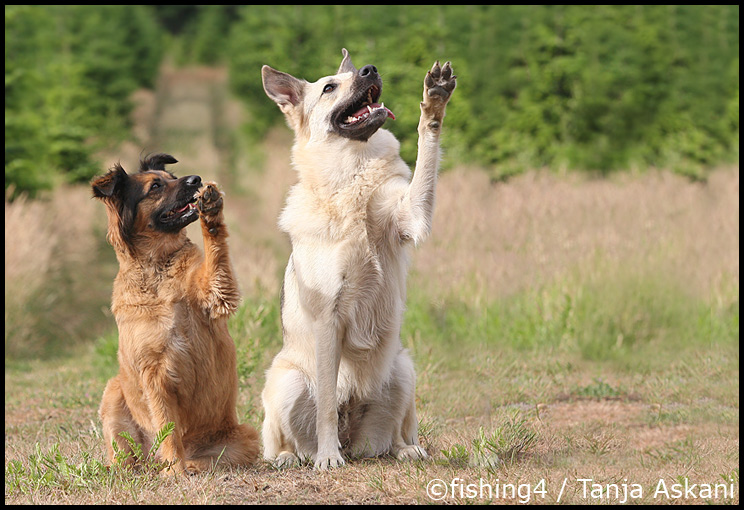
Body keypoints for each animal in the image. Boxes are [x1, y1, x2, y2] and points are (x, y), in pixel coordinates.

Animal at [93, 154, 258, 474]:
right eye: (155, 186)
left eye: (172, 177)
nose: (196, 179)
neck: (157, 268)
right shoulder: (153, 372)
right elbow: (167, 425)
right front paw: (174, 470)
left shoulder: (216, 292)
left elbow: (216, 252)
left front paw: (211, 210)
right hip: (114, 392)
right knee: (127, 458)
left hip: (245, 438)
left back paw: (191, 465)